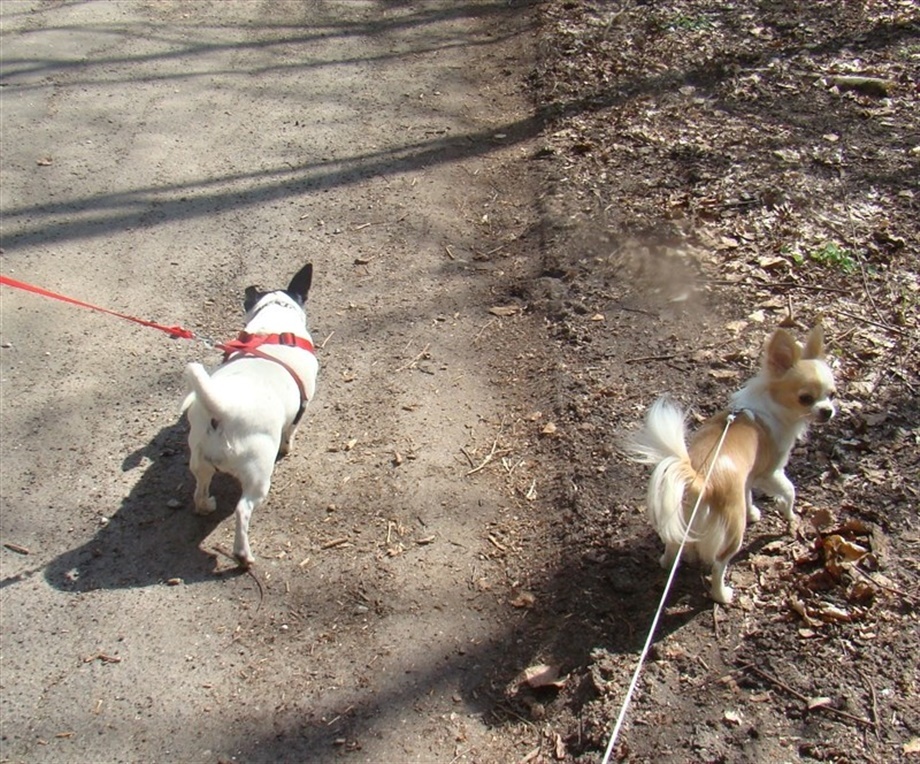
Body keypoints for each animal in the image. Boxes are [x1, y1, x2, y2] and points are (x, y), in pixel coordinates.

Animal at [181, 263, 318, 567]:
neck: (274, 322)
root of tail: (222, 410)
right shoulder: (302, 405)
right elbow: (291, 430)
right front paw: (288, 447)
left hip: (200, 461)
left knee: (199, 491)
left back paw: (207, 506)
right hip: (258, 475)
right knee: (243, 510)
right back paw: (243, 555)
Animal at [628, 325, 836, 604]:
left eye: (832, 395)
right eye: (806, 398)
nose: (828, 411)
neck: (767, 407)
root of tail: (699, 480)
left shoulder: (747, 478)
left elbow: (748, 495)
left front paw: (755, 511)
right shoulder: (771, 472)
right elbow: (790, 491)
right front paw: (790, 515)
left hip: (681, 518)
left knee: (672, 546)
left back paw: (670, 562)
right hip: (733, 532)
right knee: (718, 565)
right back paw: (723, 595)